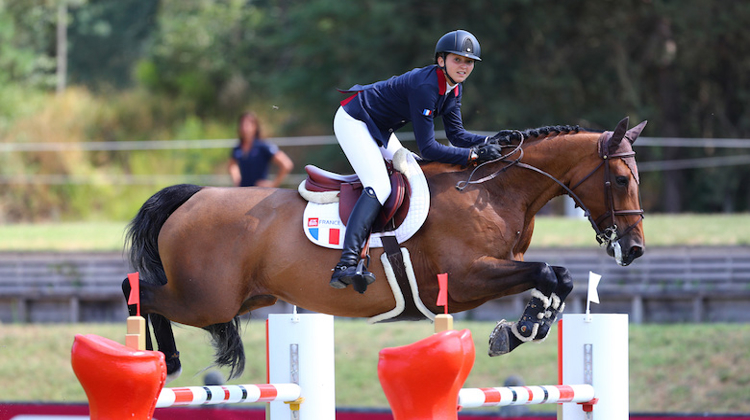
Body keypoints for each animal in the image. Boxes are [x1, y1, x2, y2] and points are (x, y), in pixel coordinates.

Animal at [122, 115, 648, 380]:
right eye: (622, 180)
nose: (636, 250)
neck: (493, 190)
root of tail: (194, 196)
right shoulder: (466, 278)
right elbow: (545, 272)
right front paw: (517, 330)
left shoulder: (498, 268)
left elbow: (558, 277)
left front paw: (523, 328)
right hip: (206, 299)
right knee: (140, 292)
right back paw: (164, 360)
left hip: (243, 298)